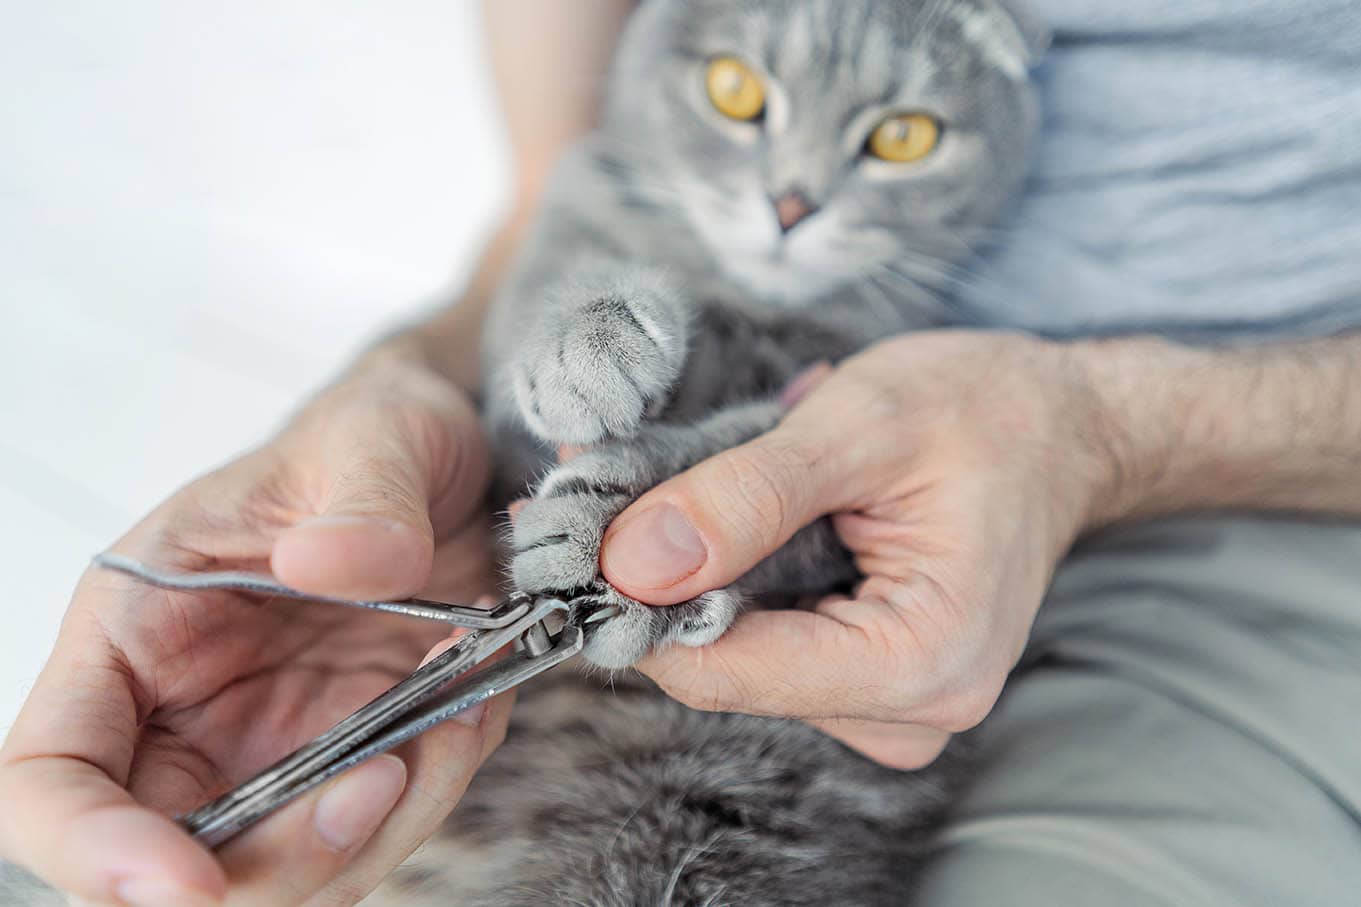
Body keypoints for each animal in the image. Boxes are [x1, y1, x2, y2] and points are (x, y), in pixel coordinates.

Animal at [367, 0, 1045, 898]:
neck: (737, 300)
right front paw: (590, 338)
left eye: (902, 137)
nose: (791, 203)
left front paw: (621, 525)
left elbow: (756, 459)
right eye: (734, 90)